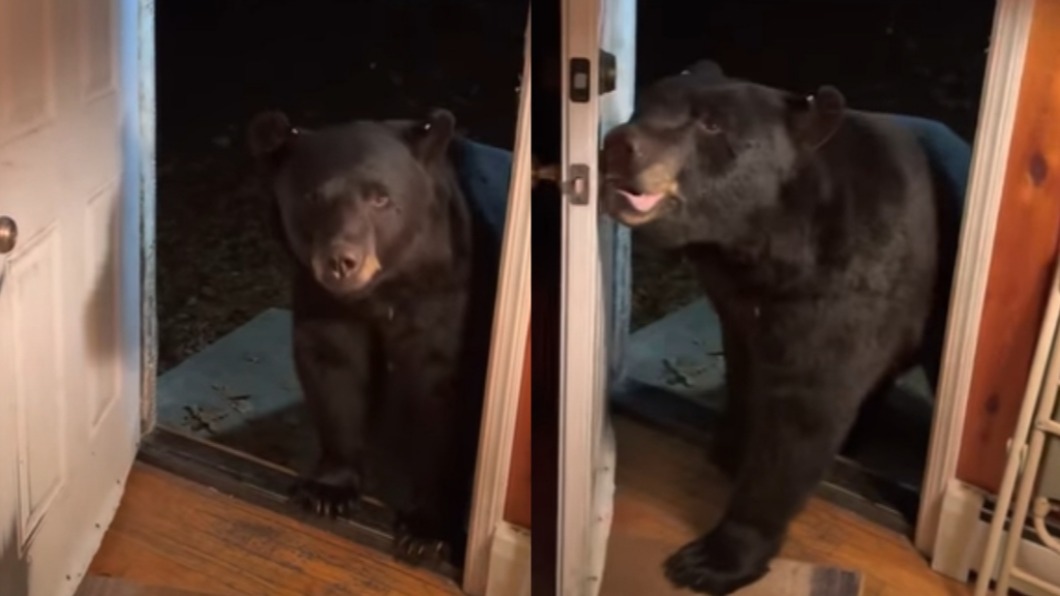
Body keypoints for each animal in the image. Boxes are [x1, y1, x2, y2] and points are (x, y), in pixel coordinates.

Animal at [246, 107, 494, 568]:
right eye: (312, 197)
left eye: (380, 199)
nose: (341, 261)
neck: (383, 291)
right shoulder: (322, 298)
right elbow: (334, 367)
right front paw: (327, 489)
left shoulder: (448, 293)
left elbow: (443, 392)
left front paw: (427, 530)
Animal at [599, 59, 944, 594]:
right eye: (645, 104)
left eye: (711, 124)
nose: (619, 143)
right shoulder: (735, 298)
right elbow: (746, 369)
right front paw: (731, 445)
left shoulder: (849, 287)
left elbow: (805, 413)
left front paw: (713, 557)